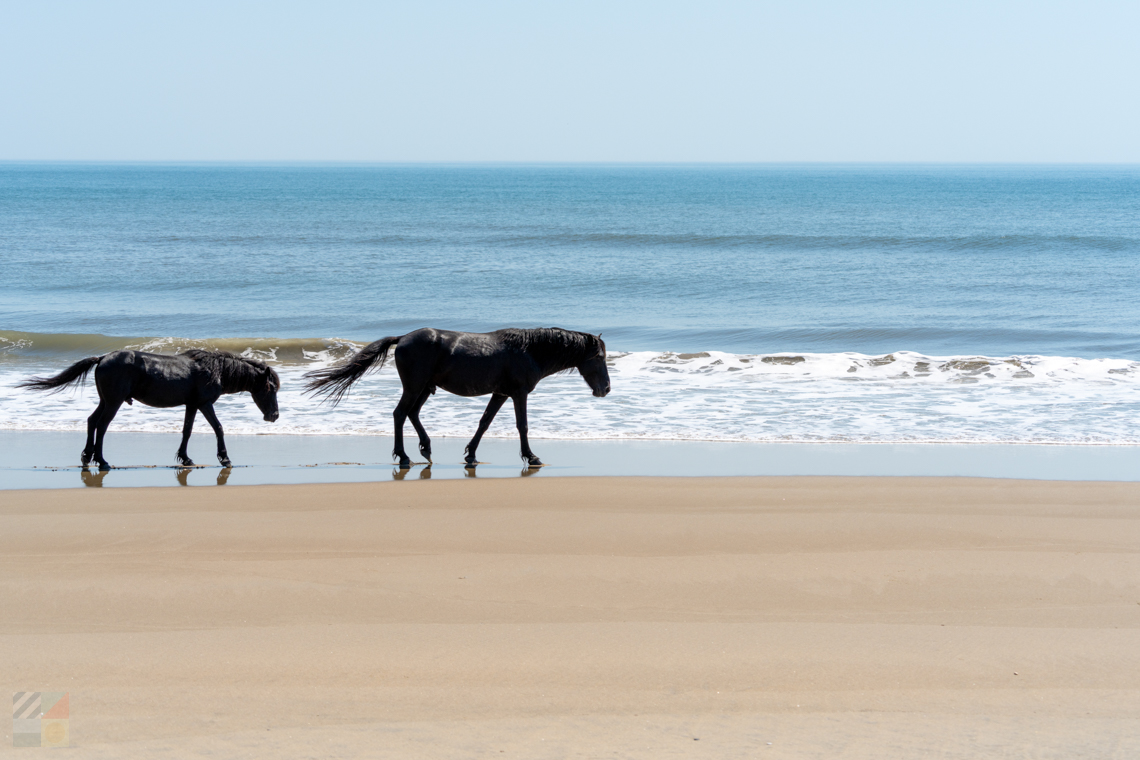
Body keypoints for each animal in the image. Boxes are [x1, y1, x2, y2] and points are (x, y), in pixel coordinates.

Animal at [18, 349, 280, 470]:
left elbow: (187, 431)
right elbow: (218, 428)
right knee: (102, 425)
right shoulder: (205, 404)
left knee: (92, 421)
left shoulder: (192, 405)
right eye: (270, 388)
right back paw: (102, 461)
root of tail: (102, 358)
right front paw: (225, 458)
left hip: (105, 400)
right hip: (113, 401)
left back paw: (86, 456)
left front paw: (185, 458)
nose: (274, 416)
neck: (215, 370)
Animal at [303, 327, 610, 468]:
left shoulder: (500, 393)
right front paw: (532, 457)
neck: (528, 351)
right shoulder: (518, 393)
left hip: (425, 388)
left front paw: (470, 455)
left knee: (412, 414)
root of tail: (402, 338)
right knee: (400, 414)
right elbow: (522, 426)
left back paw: (426, 449)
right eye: (599, 357)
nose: (605, 389)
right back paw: (404, 457)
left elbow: (484, 423)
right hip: (414, 387)